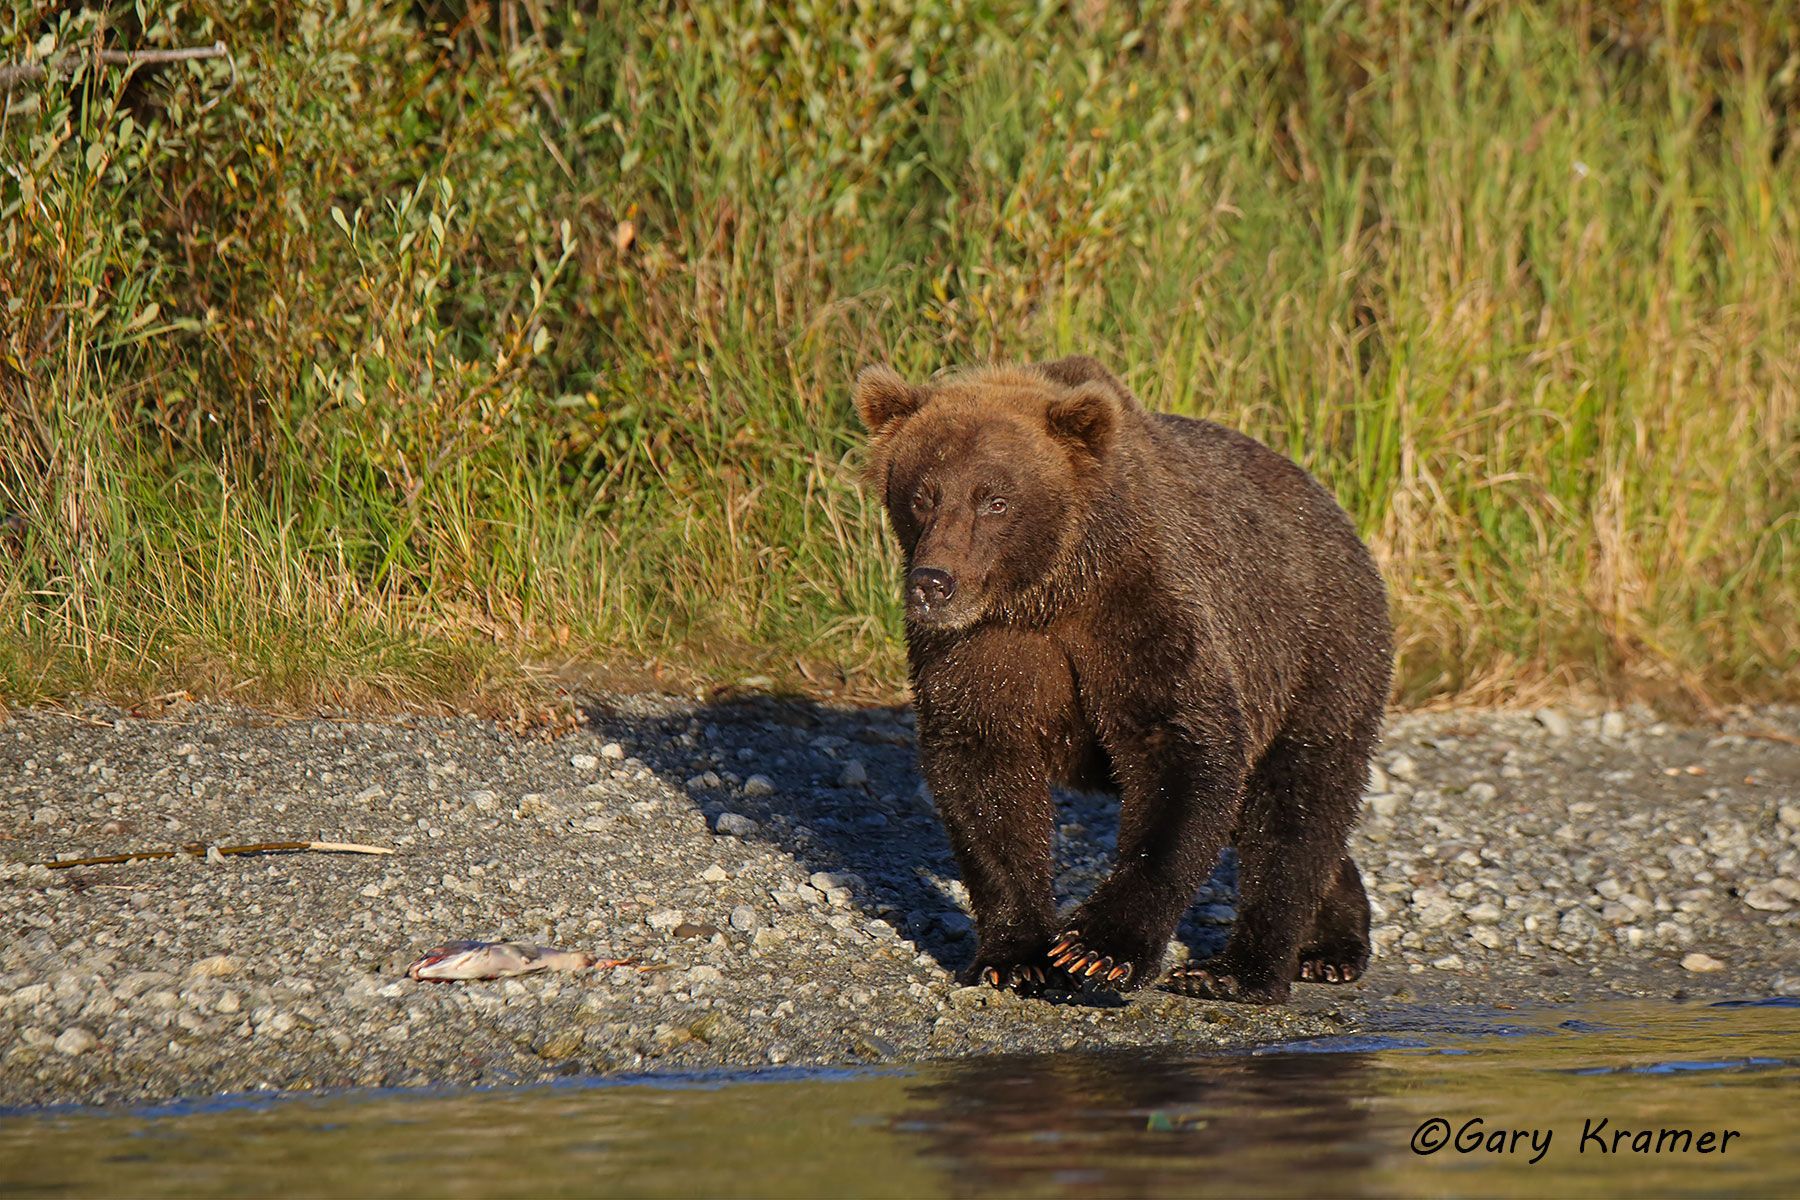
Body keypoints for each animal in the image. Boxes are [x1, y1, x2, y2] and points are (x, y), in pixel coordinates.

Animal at [853, 355, 1393, 1004]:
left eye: (995, 500)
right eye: (922, 495)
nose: (933, 583)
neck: (1047, 593)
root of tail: (1338, 515)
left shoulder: (1142, 611)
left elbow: (1182, 751)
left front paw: (1096, 949)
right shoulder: (983, 649)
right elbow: (985, 774)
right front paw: (1016, 958)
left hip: (1317, 653)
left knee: (1296, 803)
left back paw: (1242, 970)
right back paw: (1330, 943)